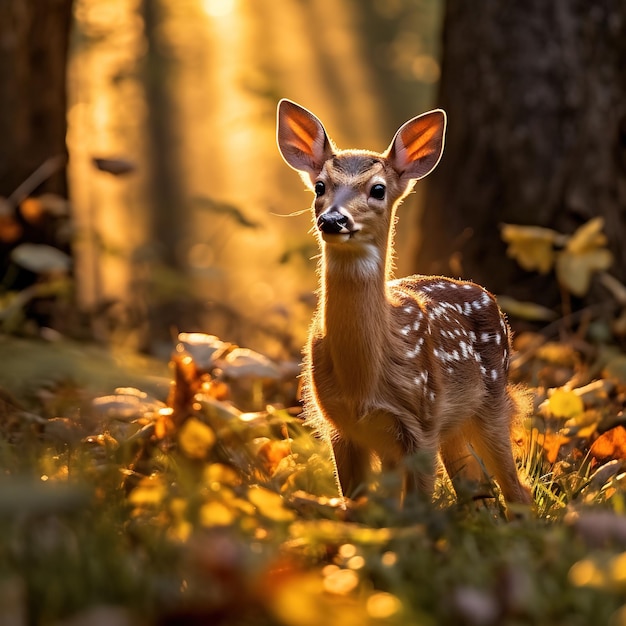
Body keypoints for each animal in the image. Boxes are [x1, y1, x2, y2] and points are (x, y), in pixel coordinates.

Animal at [276, 98, 528, 516]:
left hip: (491, 400)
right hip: (448, 427)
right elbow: (358, 506)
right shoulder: (339, 425)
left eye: (378, 189)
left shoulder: (421, 419)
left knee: (515, 488)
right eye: (320, 186)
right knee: (476, 488)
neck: (362, 383)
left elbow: (416, 506)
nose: (333, 219)